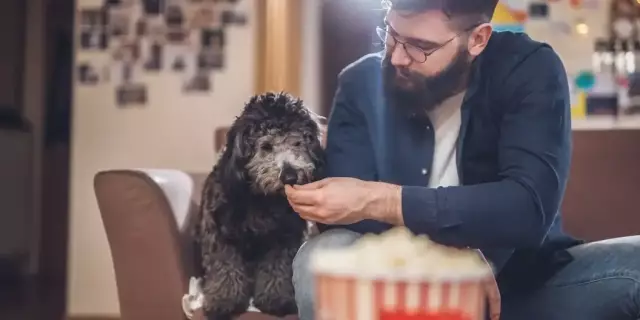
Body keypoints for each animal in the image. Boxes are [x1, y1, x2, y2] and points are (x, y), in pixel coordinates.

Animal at [194, 91, 324, 318]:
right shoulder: (220, 233)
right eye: (266, 146)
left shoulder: (284, 238)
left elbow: (277, 268)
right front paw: (224, 302)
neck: (262, 199)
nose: (290, 176)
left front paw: (276, 300)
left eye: (298, 143)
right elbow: (225, 267)